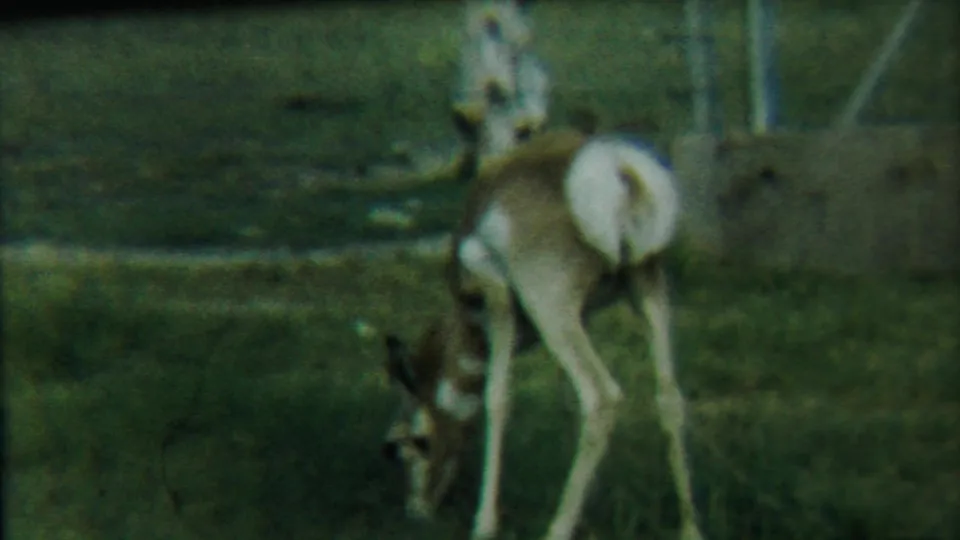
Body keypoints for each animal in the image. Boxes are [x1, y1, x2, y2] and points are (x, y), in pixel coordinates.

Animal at [379, 114, 705, 540]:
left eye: (409, 443)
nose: (417, 511)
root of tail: (618, 168)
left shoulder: (497, 298)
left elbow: (497, 398)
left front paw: (484, 523)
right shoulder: (583, 316)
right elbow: (566, 401)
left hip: (550, 307)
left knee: (601, 397)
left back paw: (557, 528)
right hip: (647, 290)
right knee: (669, 396)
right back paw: (690, 527)